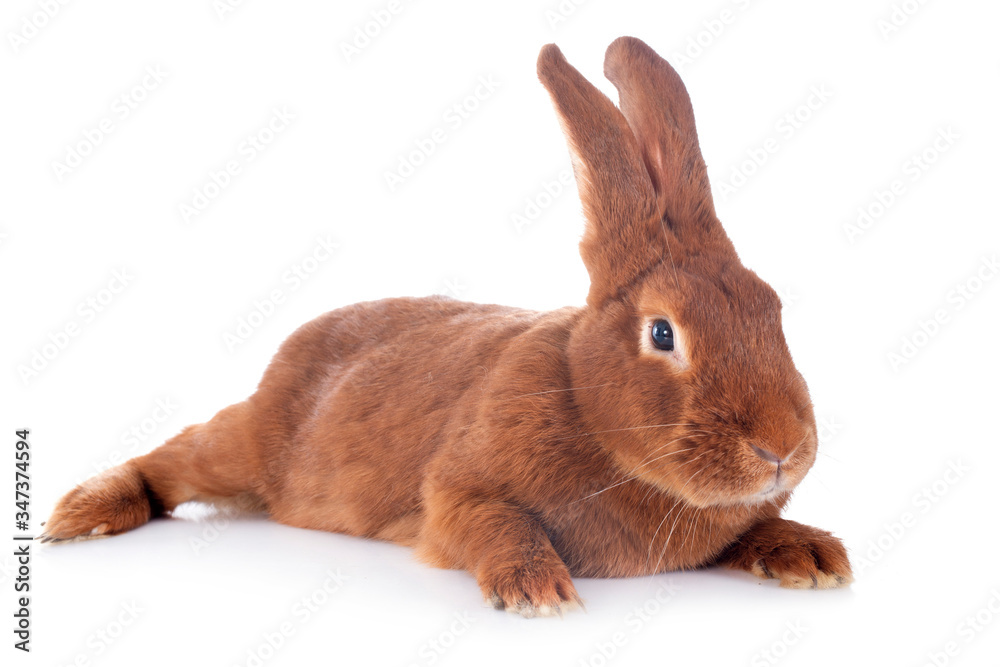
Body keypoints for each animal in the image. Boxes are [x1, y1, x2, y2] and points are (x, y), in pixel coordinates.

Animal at [42, 36, 852, 617]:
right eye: (662, 334)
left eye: (772, 307)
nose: (781, 448)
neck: (586, 405)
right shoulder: (456, 492)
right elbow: (495, 522)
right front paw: (536, 591)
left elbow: (754, 530)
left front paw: (814, 558)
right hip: (249, 444)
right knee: (173, 460)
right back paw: (79, 516)